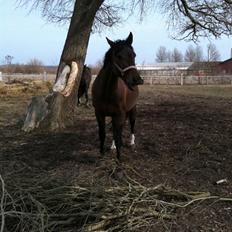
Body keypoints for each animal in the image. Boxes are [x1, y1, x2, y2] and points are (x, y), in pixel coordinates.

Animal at [92, 32, 143, 160]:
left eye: (134, 55)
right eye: (119, 56)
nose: (137, 80)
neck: (106, 92)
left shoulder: (119, 114)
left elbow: (118, 134)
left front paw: (119, 159)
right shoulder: (99, 114)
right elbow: (103, 133)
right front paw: (101, 153)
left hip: (132, 110)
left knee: (131, 125)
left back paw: (131, 143)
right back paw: (113, 146)